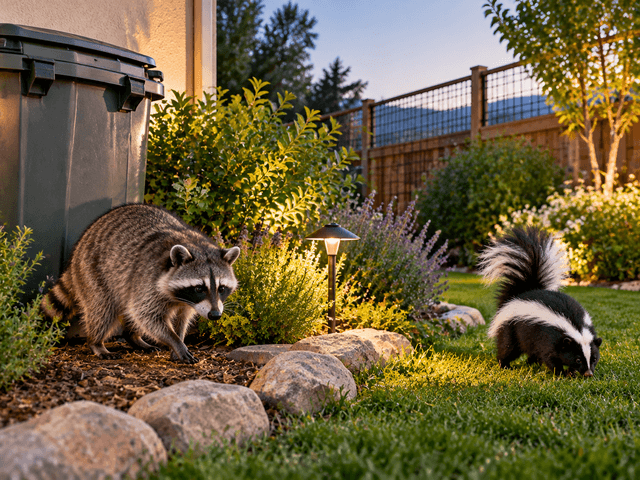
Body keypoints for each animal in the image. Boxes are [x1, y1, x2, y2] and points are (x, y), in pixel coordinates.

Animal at [41, 203, 240, 364]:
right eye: (199, 288)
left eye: (222, 288)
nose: (215, 315)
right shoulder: (147, 281)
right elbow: (146, 315)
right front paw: (175, 341)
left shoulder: (189, 303)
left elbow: (181, 318)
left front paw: (179, 339)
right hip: (94, 272)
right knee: (102, 309)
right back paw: (96, 342)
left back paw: (132, 336)